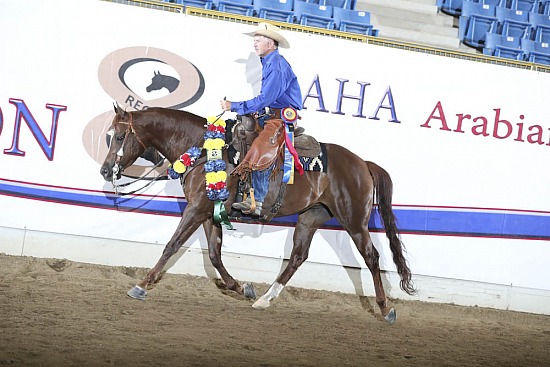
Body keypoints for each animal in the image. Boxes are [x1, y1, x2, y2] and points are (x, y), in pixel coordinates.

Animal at [101, 104, 416, 324]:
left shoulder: (197, 208)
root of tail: (362, 163)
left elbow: (172, 245)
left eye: (120, 136)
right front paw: (242, 288)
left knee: (372, 257)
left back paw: (385, 309)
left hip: (354, 220)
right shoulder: (209, 212)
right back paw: (265, 298)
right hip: (311, 217)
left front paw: (142, 285)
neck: (202, 149)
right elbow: (214, 255)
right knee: (298, 256)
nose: (105, 170)